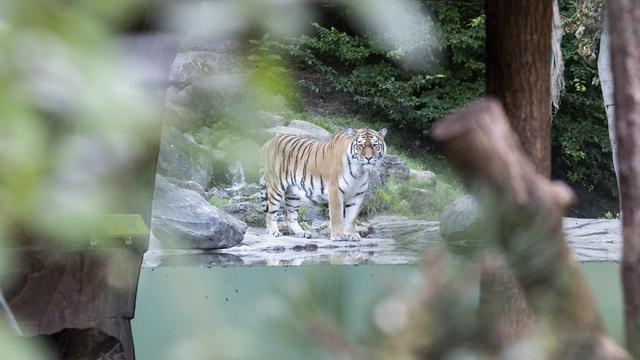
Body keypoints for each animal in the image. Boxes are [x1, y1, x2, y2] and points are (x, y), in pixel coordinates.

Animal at [262, 128, 390, 240]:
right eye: (360, 146)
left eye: (375, 146)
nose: (369, 158)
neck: (359, 171)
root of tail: (270, 141)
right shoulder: (335, 189)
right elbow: (337, 215)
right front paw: (338, 236)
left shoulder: (357, 195)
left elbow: (351, 218)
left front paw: (351, 235)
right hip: (276, 187)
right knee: (270, 212)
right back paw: (274, 232)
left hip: (293, 193)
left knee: (290, 215)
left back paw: (301, 233)